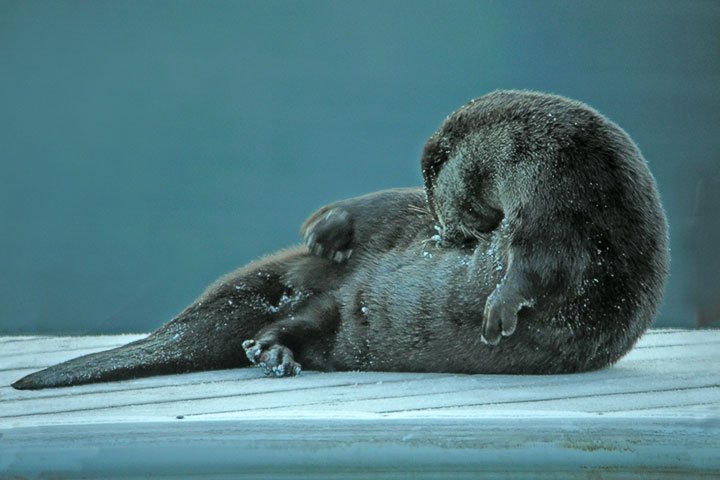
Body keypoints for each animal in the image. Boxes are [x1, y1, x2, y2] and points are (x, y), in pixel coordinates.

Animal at [11, 91, 668, 390]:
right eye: (437, 200)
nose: (443, 233)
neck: (558, 167)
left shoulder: (569, 210)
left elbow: (543, 266)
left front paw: (499, 309)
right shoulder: (553, 192)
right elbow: (531, 264)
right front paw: (500, 305)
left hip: (339, 318)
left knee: (299, 322)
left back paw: (271, 351)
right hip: (343, 276)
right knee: (357, 232)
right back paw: (320, 250)